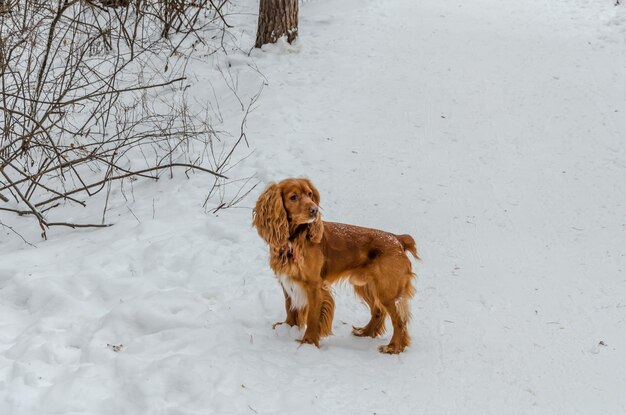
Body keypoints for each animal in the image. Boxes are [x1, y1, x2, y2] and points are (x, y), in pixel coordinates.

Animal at [251, 179, 416, 354]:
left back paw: (393, 347)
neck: (294, 240)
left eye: (310, 194)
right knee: (378, 311)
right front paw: (288, 327)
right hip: (364, 285)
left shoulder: (314, 286)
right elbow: (290, 306)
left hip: (386, 291)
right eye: (293, 197)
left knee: (399, 320)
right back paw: (366, 332)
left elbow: (312, 317)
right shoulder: (287, 281)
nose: (314, 210)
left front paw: (308, 342)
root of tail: (397, 239)